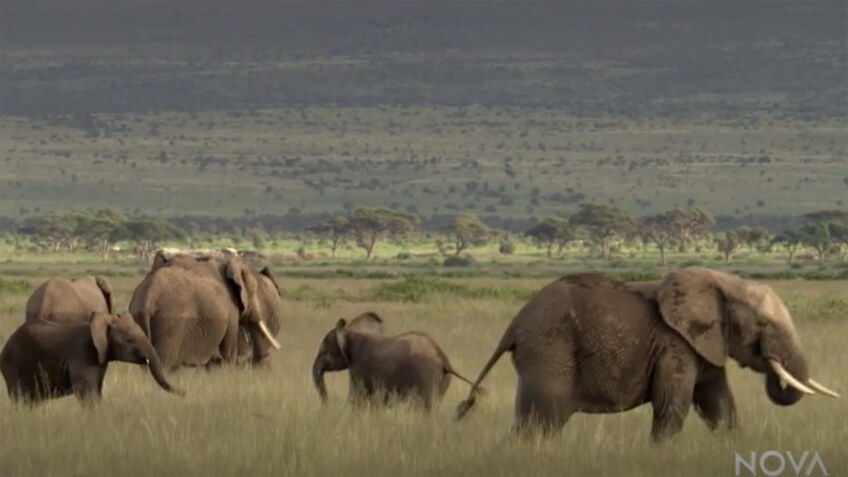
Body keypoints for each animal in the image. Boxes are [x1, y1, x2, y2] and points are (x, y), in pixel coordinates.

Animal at [0, 312, 184, 406]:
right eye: (130, 340)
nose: (185, 392)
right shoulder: (81, 354)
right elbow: (88, 395)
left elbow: (96, 390)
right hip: (13, 366)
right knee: (21, 400)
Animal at [129, 253, 282, 371]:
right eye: (254, 291)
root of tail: (148, 297)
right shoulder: (231, 308)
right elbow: (228, 353)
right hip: (170, 323)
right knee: (164, 362)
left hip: (140, 318)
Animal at [312, 312, 477, 411]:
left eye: (324, 352)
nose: (327, 403)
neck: (351, 331)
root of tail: (443, 359)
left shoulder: (358, 368)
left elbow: (355, 398)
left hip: (427, 375)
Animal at [455, 267, 839, 441]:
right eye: (762, 324)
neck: (722, 281)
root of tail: (515, 324)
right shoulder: (674, 345)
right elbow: (672, 405)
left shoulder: (703, 344)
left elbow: (718, 402)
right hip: (550, 350)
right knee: (542, 420)